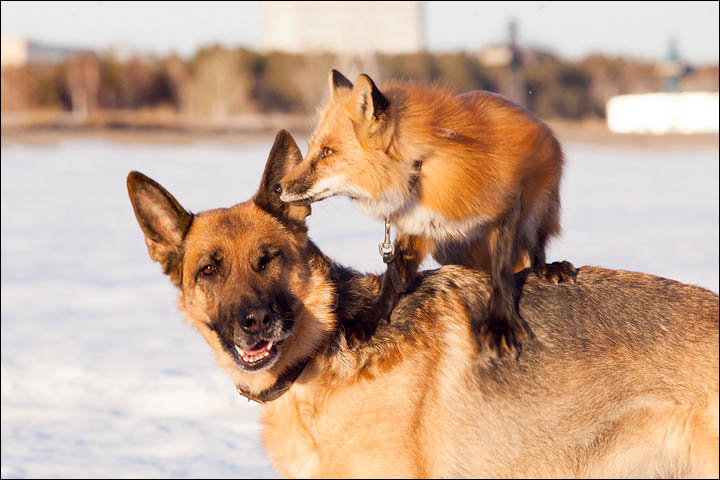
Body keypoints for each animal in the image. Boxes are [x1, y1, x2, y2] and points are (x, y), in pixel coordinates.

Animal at [276, 71, 572, 356]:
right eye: (313, 149)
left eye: (328, 152)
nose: (278, 186)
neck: (420, 169)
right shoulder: (416, 226)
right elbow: (392, 280)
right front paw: (370, 319)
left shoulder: (508, 205)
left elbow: (501, 272)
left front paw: (500, 322)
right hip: (448, 248)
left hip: (538, 210)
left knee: (533, 251)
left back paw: (550, 267)